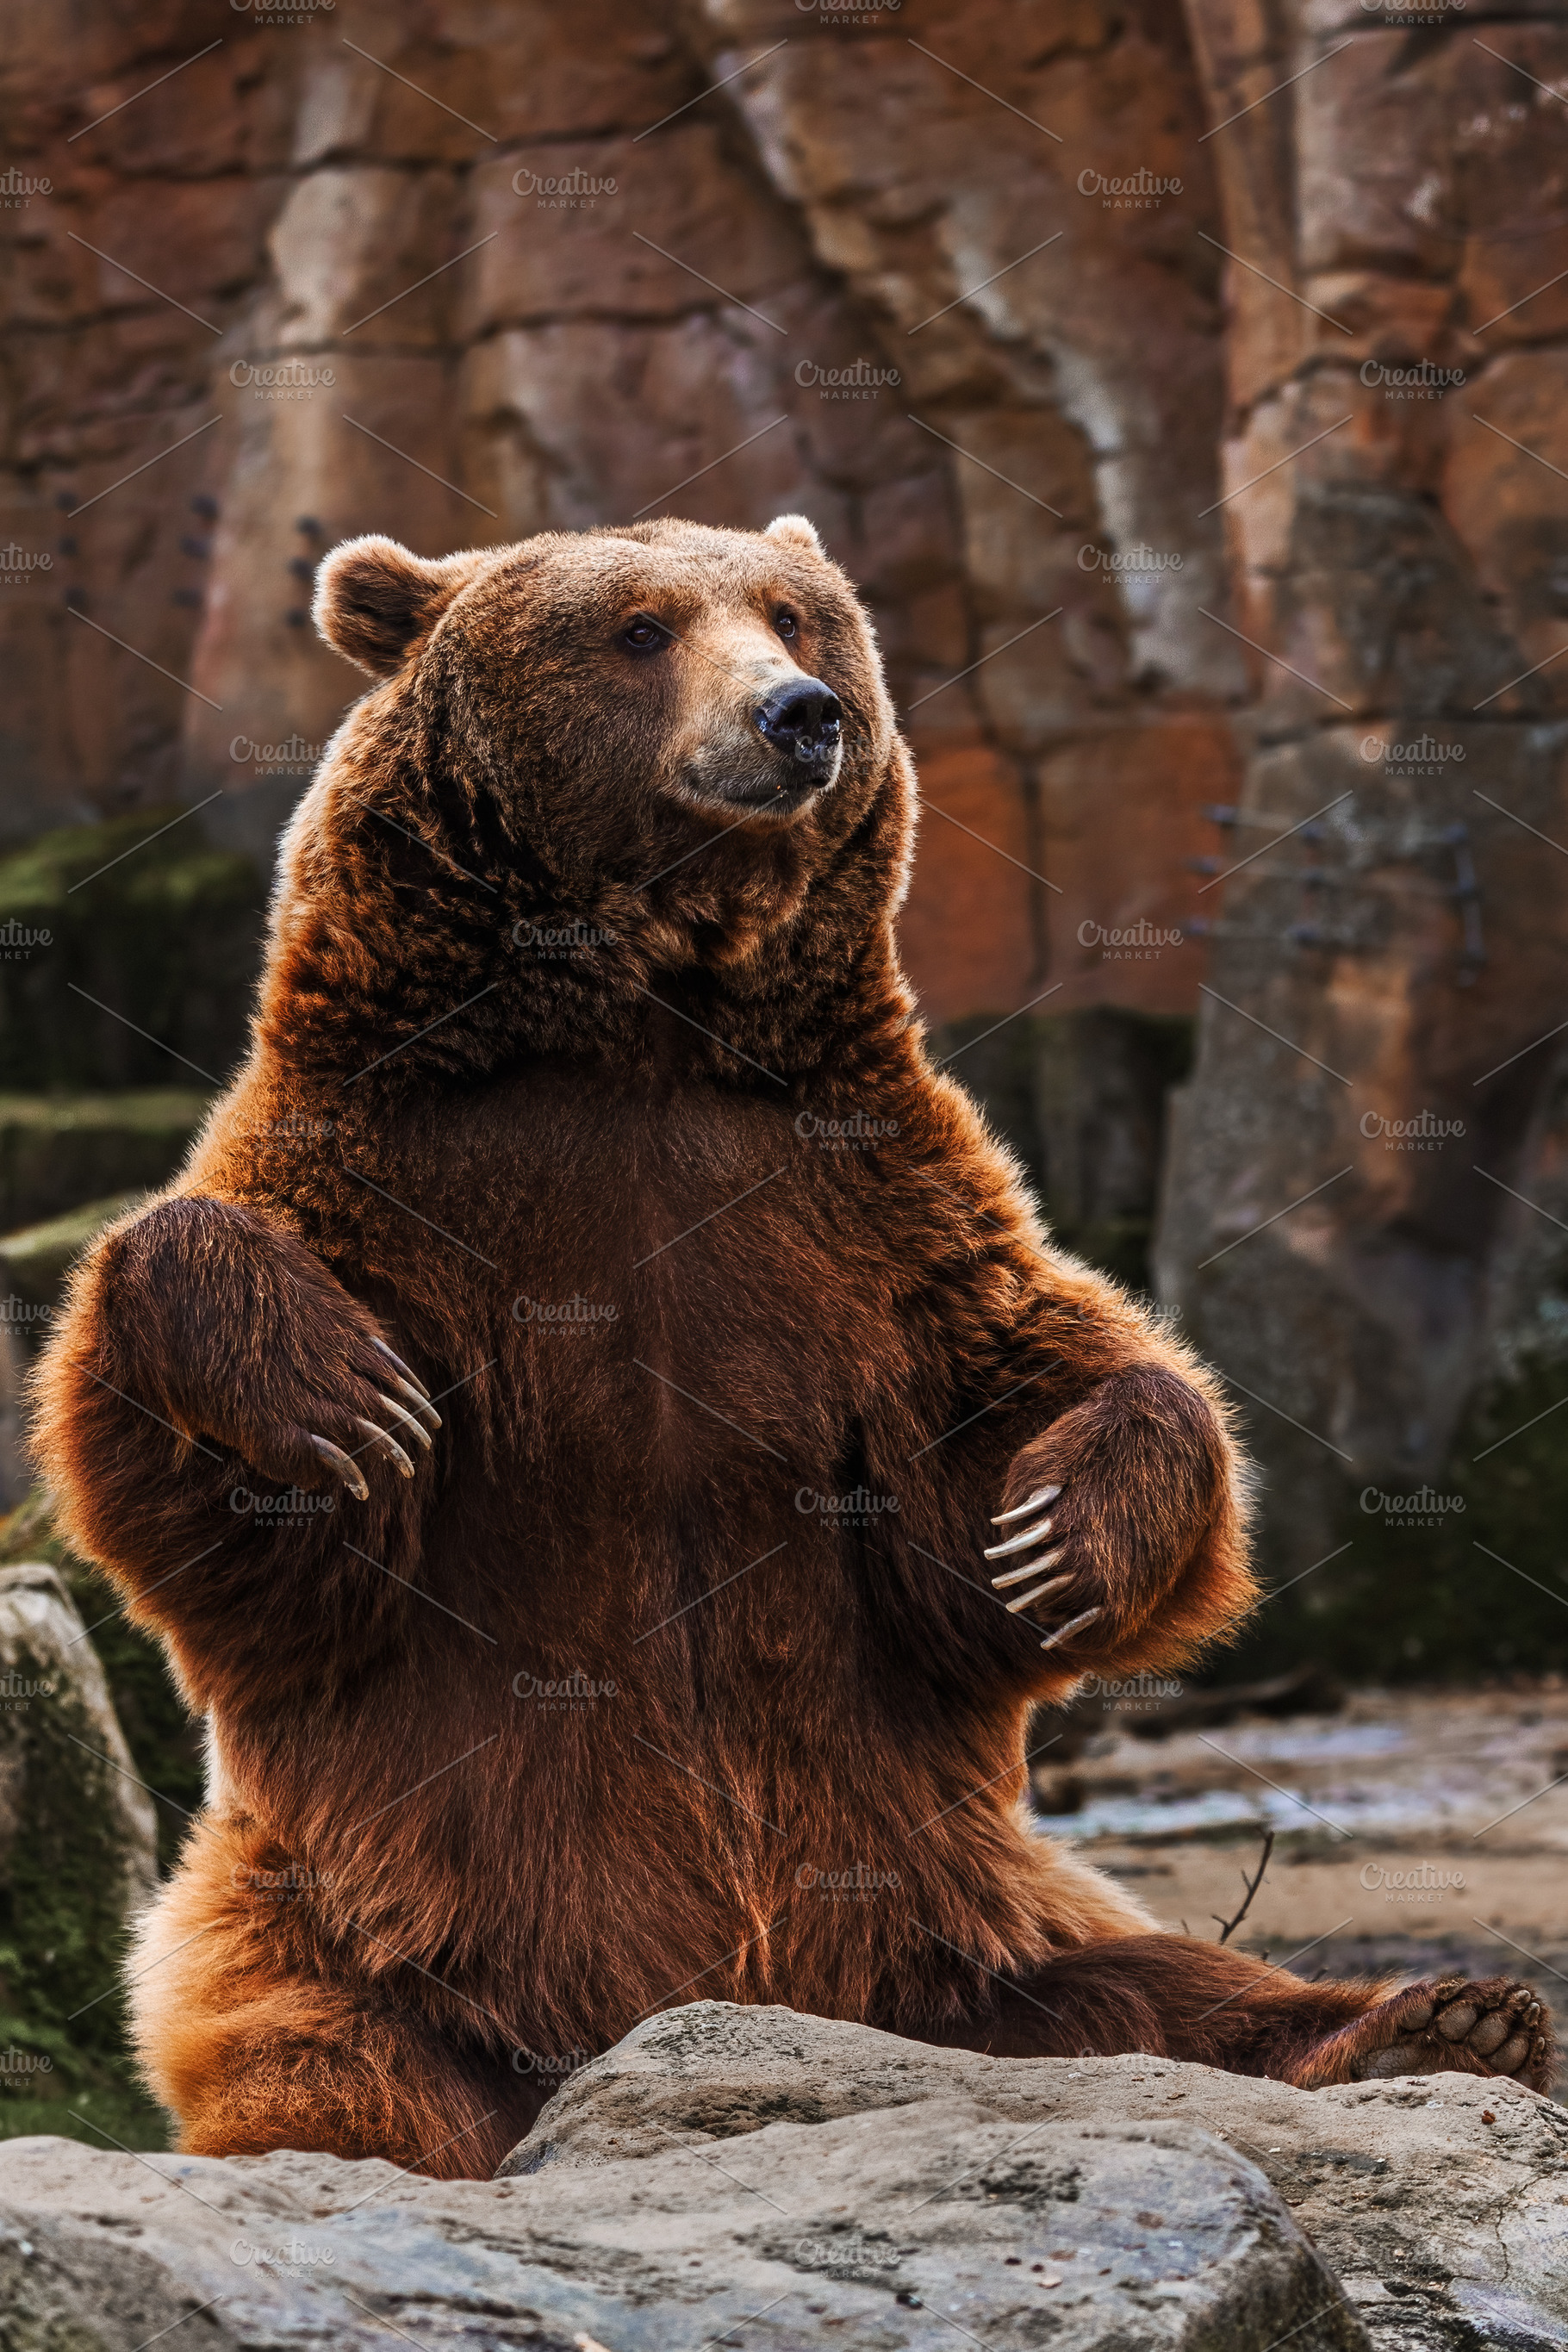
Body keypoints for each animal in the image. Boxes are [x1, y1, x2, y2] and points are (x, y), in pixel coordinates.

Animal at [31, 513, 1555, 2177]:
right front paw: (331, 1396)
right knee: (345, 2073)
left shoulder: (863, 1210)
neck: (640, 1026)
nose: (798, 715)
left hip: (959, 1925)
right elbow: (272, 1527)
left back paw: (1436, 2022)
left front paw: (1064, 1535)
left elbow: (1009, 1442)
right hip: (361, 1932)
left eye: (793, 615)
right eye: (638, 628)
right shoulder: (397, 1169)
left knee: (1158, 1990)